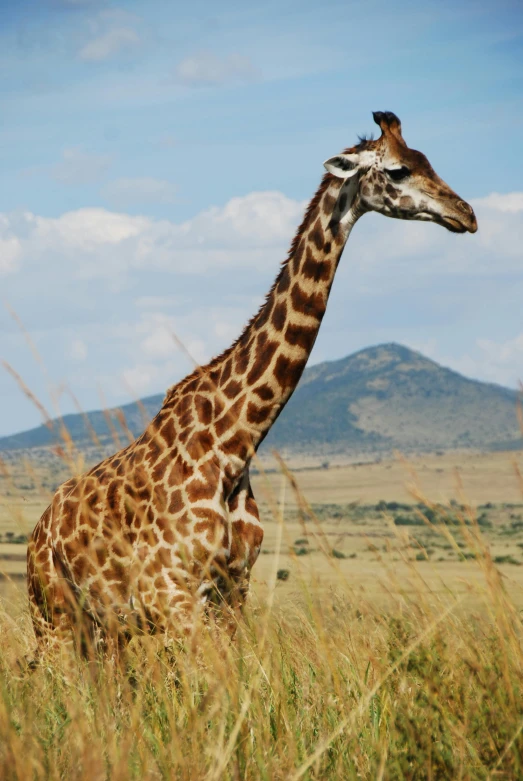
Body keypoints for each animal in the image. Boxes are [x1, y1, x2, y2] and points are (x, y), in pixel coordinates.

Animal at [27, 111, 478, 652]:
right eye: (397, 170)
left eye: (427, 160)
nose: (467, 213)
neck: (235, 445)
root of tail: (38, 530)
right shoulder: (171, 595)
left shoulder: (232, 590)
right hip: (53, 616)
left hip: (105, 628)